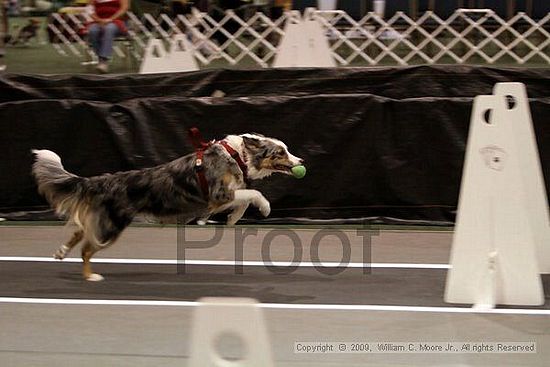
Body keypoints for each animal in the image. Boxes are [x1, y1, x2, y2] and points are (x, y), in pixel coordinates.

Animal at [32, 134, 304, 282]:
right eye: (281, 152)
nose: (301, 160)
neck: (237, 155)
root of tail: (101, 180)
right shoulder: (218, 195)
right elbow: (254, 193)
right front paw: (265, 207)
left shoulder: (221, 199)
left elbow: (244, 200)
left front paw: (233, 219)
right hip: (111, 226)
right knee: (87, 248)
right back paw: (90, 276)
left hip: (103, 221)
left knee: (81, 229)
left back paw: (61, 252)